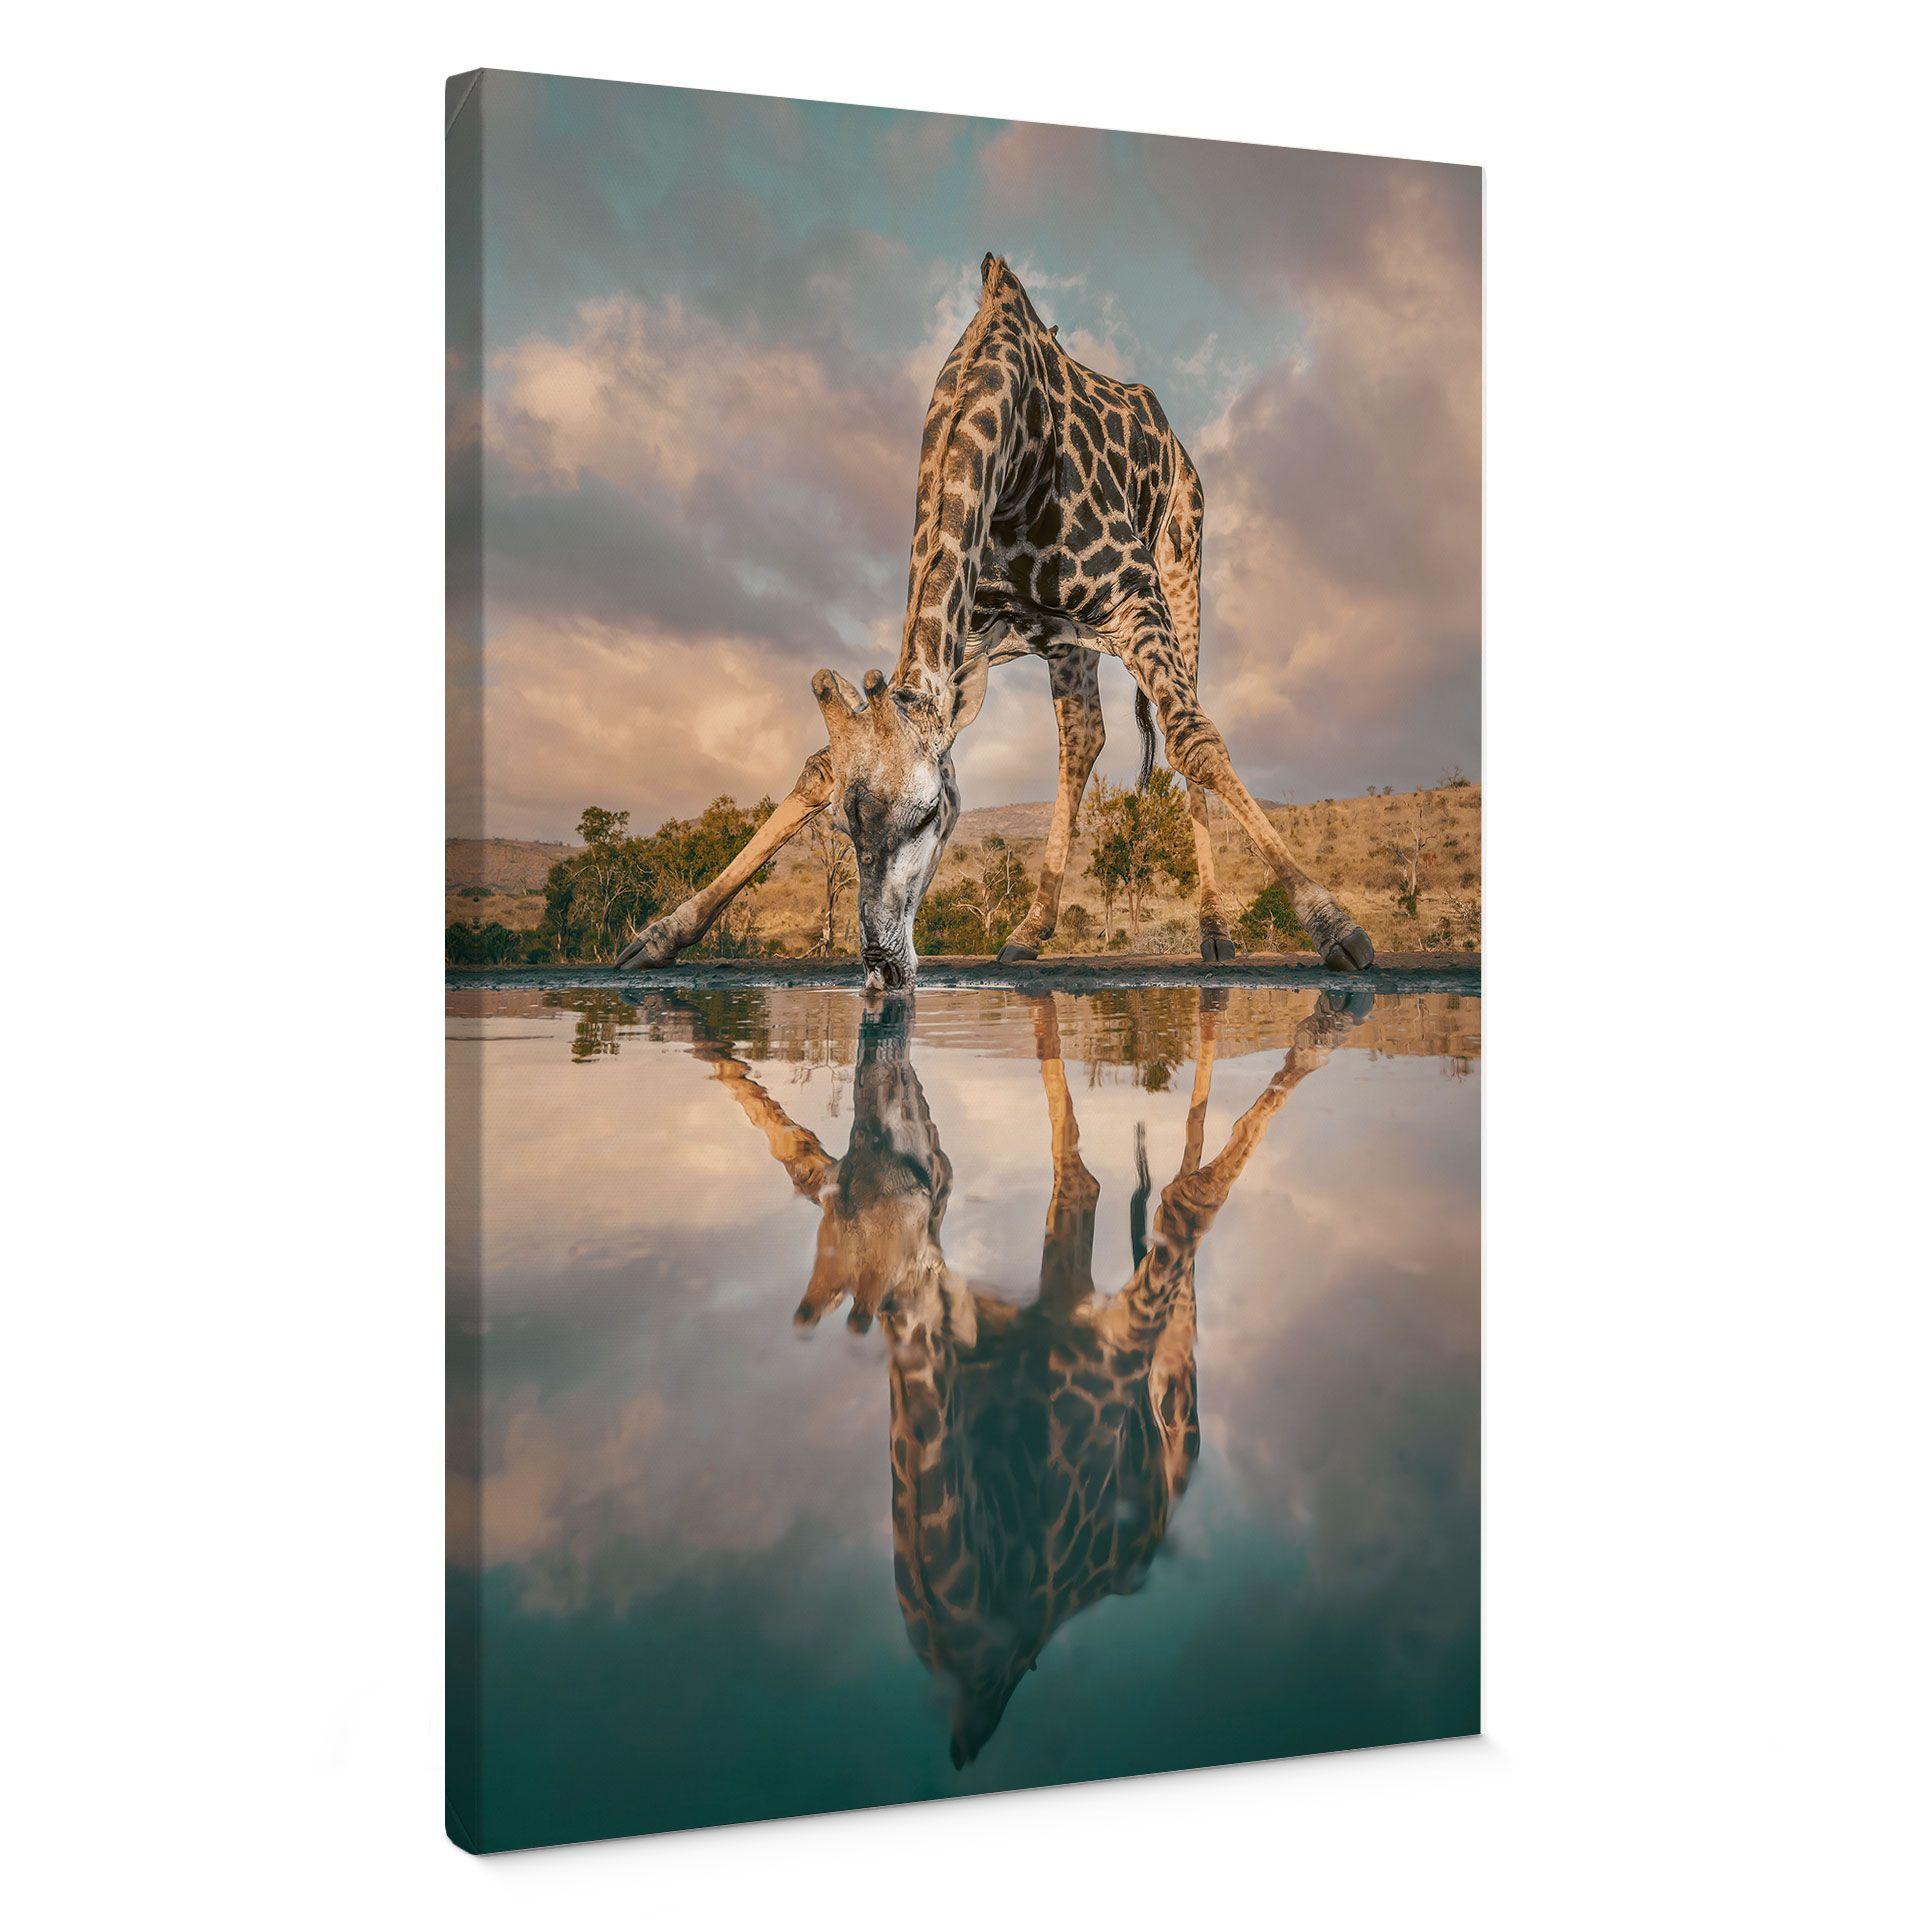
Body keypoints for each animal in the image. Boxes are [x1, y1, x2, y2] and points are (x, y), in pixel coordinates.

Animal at [615, 254, 1375, 988]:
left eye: (929, 814)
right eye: (845, 824)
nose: (883, 966)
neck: (1012, 445)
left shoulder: (1134, 594)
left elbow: (1196, 740)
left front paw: (1334, 926)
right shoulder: (967, 636)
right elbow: (818, 765)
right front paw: (661, 935)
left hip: (1182, 568)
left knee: (1180, 725)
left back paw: (1214, 930)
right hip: (1067, 640)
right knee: (1083, 738)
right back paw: (1030, 931)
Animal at [685, 985, 1366, 1764]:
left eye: (926, 1178)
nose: (888, 1082)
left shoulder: (1113, 1334)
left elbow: (1180, 1200)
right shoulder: (1060, 1301)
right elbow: (1097, 1170)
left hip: (1169, 1366)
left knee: (1176, 1218)